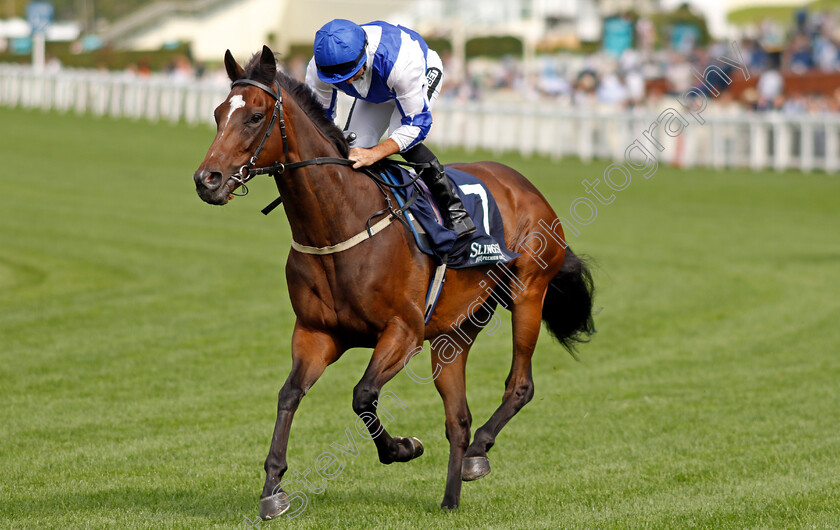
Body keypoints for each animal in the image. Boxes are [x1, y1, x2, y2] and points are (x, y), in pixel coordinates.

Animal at [194, 45, 592, 516]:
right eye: (218, 113)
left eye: (255, 116)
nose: (207, 180)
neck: (339, 224)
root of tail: (527, 187)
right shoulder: (316, 333)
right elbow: (288, 394)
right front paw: (273, 487)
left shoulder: (404, 331)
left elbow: (363, 393)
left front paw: (402, 447)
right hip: (454, 333)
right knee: (458, 418)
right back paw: (452, 494)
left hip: (528, 293)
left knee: (520, 386)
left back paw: (479, 452)